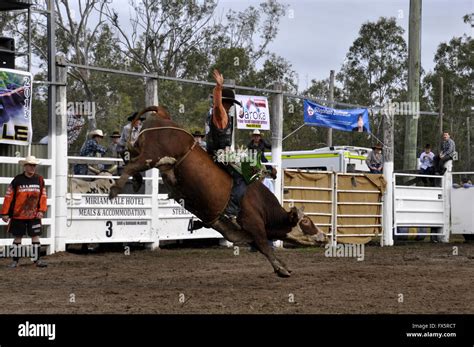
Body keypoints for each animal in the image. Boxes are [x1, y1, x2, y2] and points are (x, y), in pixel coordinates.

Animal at [109, 106, 326, 278]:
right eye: (307, 222)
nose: (324, 236)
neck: (262, 204)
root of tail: (164, 116)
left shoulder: (243, 233)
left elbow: (266, 249)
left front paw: (283, 266)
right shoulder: (254, 224)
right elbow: (266, 247)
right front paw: (281, 270)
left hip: (147, 153)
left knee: (128, 156)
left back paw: (135, 181)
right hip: (152, 155)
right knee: (131, 164)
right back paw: (115, 189)